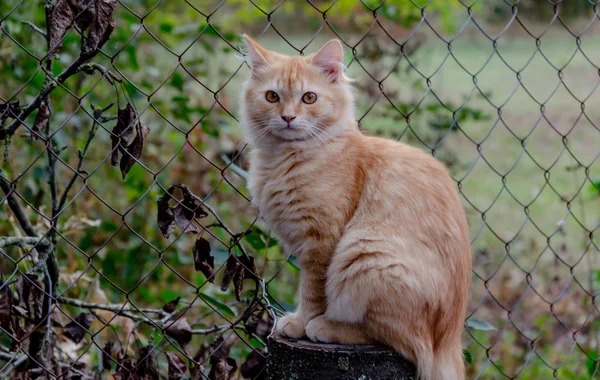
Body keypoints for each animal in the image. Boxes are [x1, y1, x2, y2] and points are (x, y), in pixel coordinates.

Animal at [240, 35, 474, 380]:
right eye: (272, 96)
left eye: (309, 98)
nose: (288, 117)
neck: (287, 157)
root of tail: (450, 341)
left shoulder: (322, 241)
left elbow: (312, 291)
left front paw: (301, 322)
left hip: (364, 254)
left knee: (405, 343)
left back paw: (327, 327)